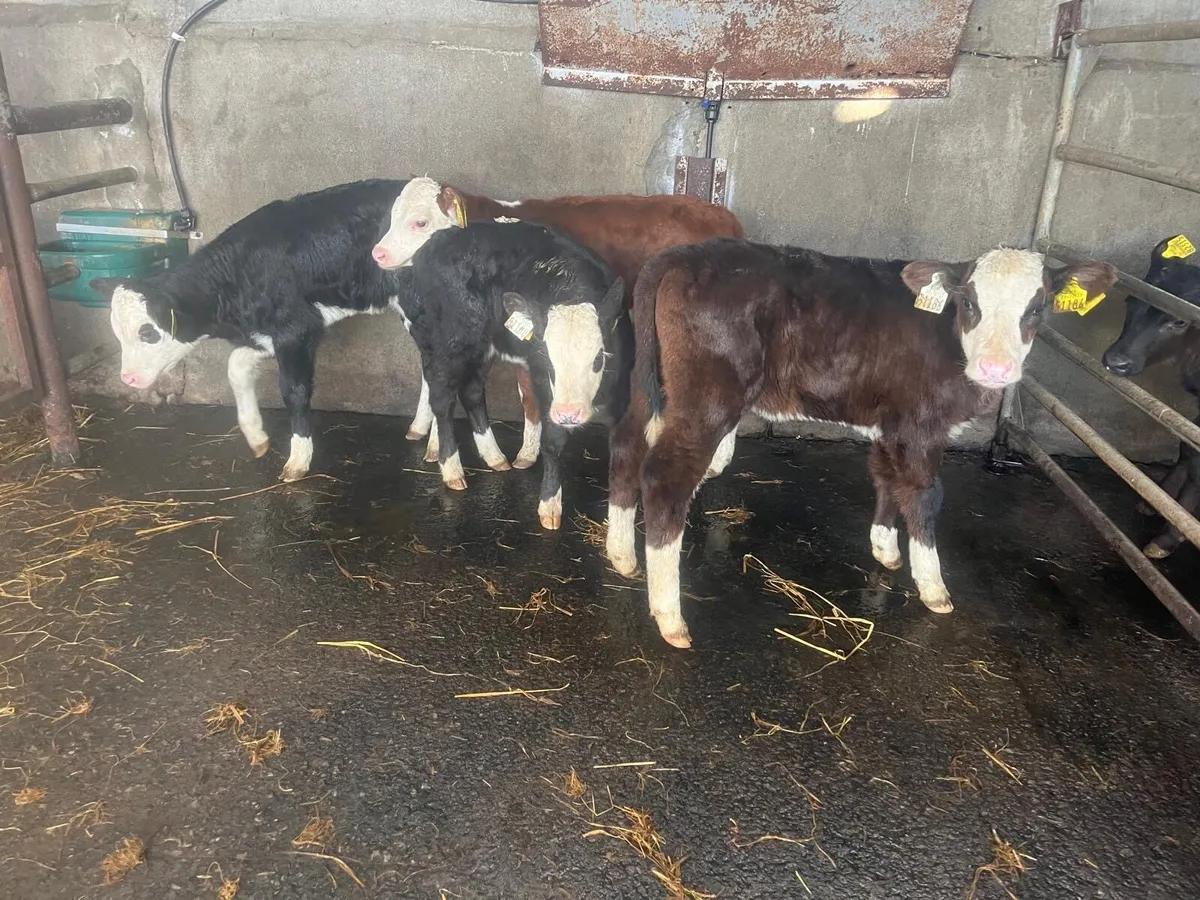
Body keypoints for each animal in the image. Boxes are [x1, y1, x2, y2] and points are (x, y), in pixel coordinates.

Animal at [92, 179, 409, 482]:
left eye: (147, 332)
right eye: (116, 333)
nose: (128, 378)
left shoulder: (296, 328)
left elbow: (294, 390)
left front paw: (298, 460)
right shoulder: (262, 336)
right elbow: (236, 369)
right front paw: (256, 436)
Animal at [370, 177, 743, 469]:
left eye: (419, 222)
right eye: (391, 217)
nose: (378, 253)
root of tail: (721, 215)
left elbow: (529, 399)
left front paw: (526, 453)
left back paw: (718, 461)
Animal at [380, 202, 631, 529]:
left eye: (599, 358)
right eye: (547, 357)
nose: (569, 413)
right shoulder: (542, 382)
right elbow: (553, 441)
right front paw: (550, 504)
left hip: (482, 346)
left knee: (472, 393)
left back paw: (494, 456)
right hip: (447, 344)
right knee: (442, 400)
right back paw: (452, 469)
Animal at [607, 238, 1117, 647]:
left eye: (1037, 308)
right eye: (969, 302)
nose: (997, 368)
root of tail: (684, 253)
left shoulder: (891, 422)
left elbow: (888, 477)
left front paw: (885, 548)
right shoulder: (920, 424)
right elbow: (925, 495)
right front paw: (933, 587)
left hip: (647, 384)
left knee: (626, 445)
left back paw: (622, 555)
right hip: (706, 398)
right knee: (665, 476)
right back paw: (669, 615)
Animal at [1101, 235, 1200, 559]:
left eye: (1180, 322)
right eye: (1131, 300)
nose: (1116, 361)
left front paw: (1171, 535)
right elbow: (1188, 447)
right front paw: (1160, 502)